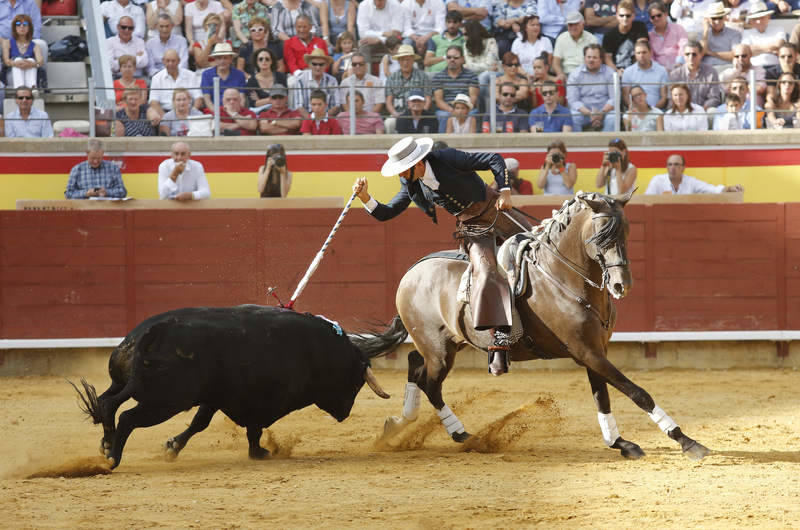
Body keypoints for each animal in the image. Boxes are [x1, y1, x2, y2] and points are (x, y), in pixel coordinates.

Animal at [70, 304, 406, 468]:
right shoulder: (262, 402)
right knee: (127, 417)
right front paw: (261, 452)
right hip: (164, 401)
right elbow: (253, 428)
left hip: (125, 382)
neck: (317, 350)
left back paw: (106, 444)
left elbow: (200, 422)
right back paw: (112, 458)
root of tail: (153, 331)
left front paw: (172, 447)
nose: (345, 412)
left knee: (107, 402)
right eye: (355, 383)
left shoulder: (216, 397)